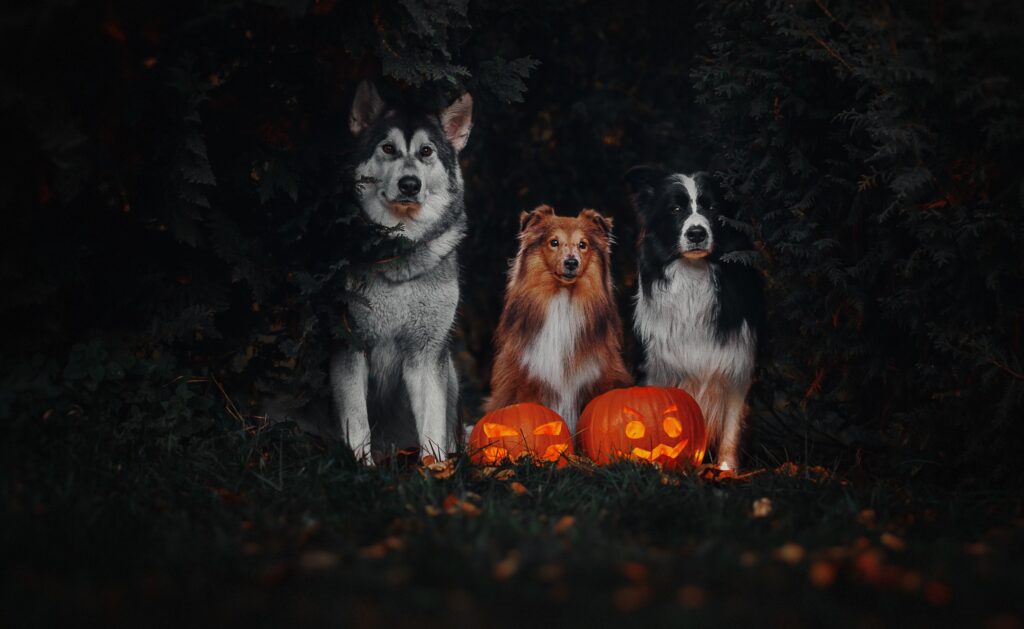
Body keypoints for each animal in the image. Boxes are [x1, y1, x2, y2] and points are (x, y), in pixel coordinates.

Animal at [331, 81, 475, 460]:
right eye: (388, 148)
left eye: (426, 151)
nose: (410, 184)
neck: (398, 247)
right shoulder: (350, 347)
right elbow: (357, 421)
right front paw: (362, 466)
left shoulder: (426, 354)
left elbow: (433, 426)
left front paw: (435, 467)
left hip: (449, 370)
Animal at [626, 164, 765, 471]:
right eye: (676, 209)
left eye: (712, 208)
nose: (697, 233)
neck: (694, 277)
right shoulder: (656, 366)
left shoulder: (737, 366)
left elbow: (731, 431)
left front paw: (727, 471)